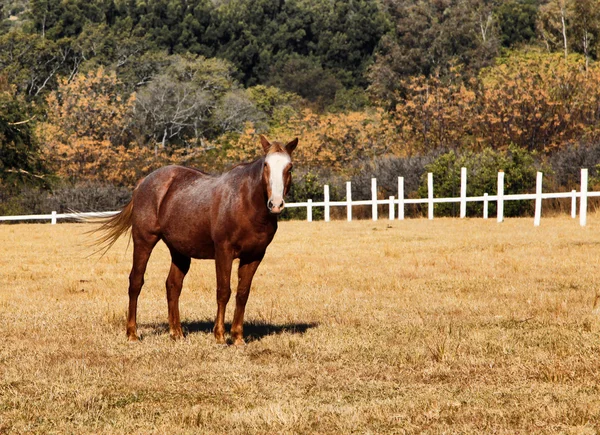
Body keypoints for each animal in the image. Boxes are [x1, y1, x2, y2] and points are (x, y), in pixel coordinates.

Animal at [93, 135, 298, 346]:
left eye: (289, 167)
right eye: (266, 165)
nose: (275, 204)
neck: (246, 202)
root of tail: (143, 182)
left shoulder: (254, 256)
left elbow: (242, 293)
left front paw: (238, 337)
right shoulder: (223, 252)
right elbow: (223, 291)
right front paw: (220, 336)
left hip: (179, 251)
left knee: (173, 286)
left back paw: (176, 332)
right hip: (144, 241)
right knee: (136, 282)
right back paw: (132, 333)